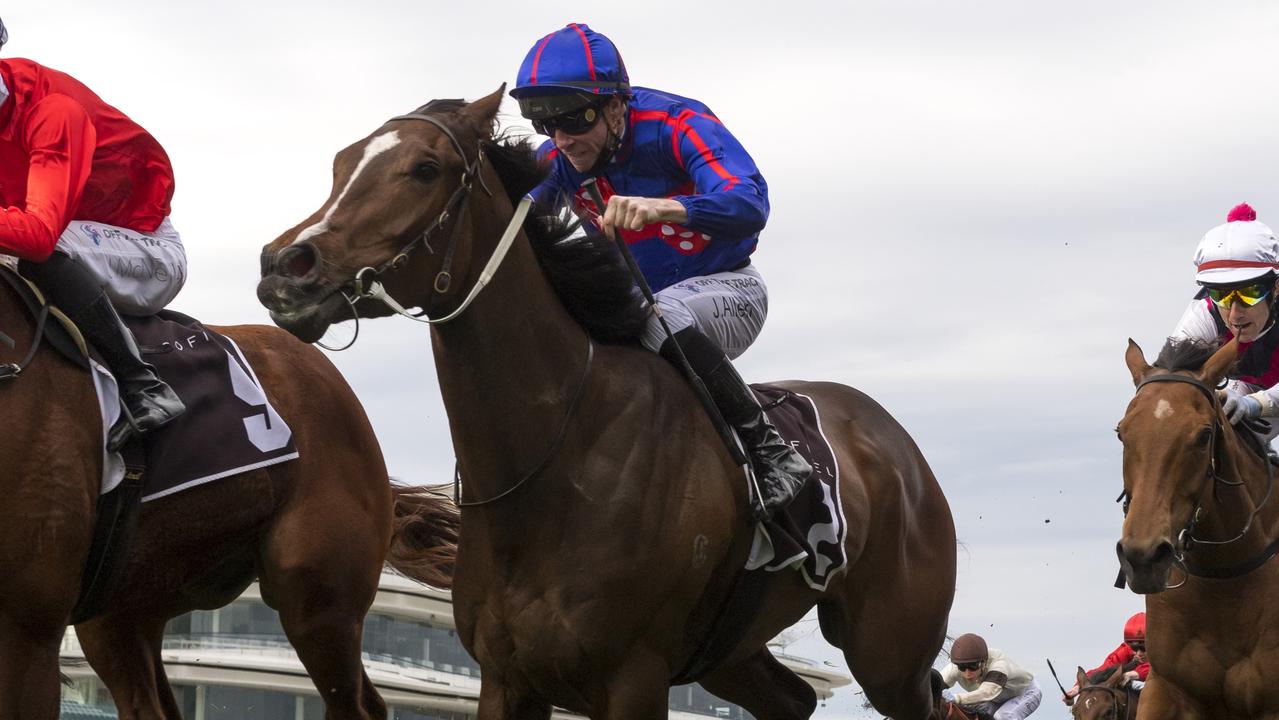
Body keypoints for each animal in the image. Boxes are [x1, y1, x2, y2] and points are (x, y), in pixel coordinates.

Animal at [259, 90, 956, 720]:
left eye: (425, 168)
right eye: (341, 163)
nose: (285, 266)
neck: (558, 456)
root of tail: (894, 441)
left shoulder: (633, 678)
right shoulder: (506, 678)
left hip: (890, 652)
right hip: (730, 650)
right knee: (792, 700)